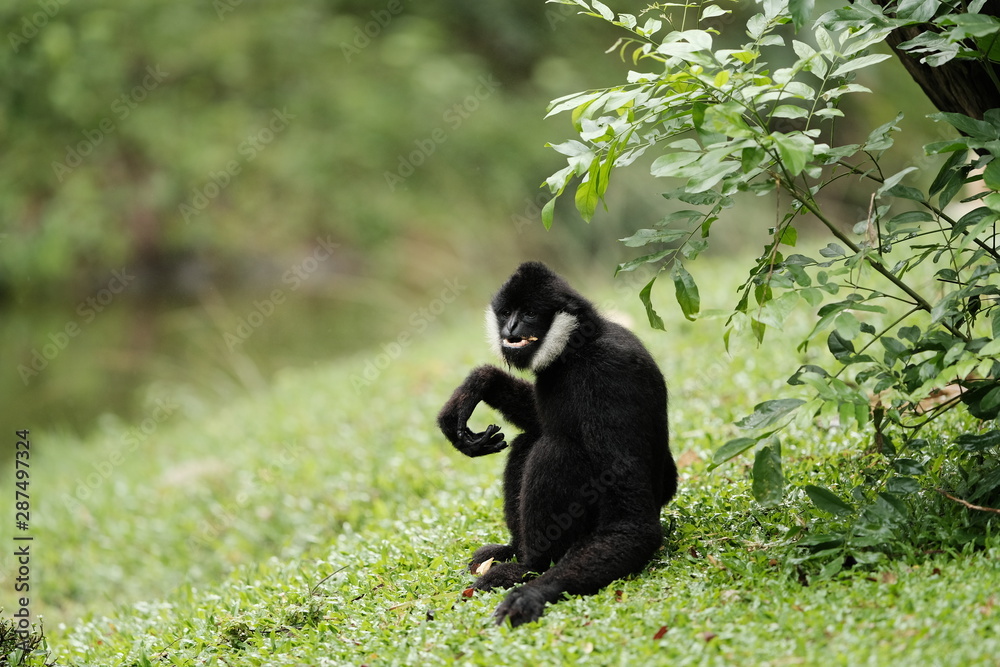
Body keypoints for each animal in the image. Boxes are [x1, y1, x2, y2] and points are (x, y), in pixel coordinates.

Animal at [437, 261, 677, 627]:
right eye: (506, 312)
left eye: (529, 313)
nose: (511, 327)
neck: (577, 348)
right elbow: (536, 420)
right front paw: (479, 383)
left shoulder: (606, 375)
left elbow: (633, 525)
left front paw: (531, 594)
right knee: (530, 439)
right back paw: (514, 550)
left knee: (557, 449)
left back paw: (526, 568)